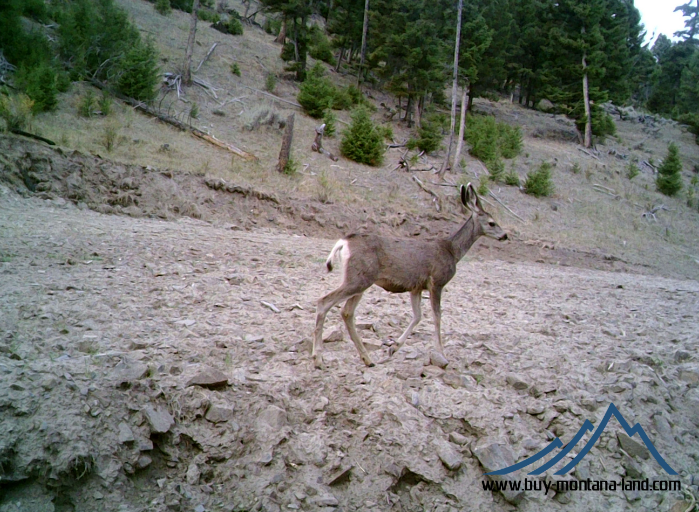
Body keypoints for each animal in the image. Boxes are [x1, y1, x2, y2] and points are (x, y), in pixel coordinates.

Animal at [314, 184, 506, 368]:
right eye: (492, 223)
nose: (505, 235)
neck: (452, 251)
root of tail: (343, 242)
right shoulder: (437, 281)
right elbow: (437, 316)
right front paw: (442, 354)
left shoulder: (416, 287)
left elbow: (417, 316)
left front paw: (394, 346)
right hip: (359, 279)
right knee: (324, 302)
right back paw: (318, 359)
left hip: (359, 280)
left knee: (346, 312)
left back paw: (367, 359)